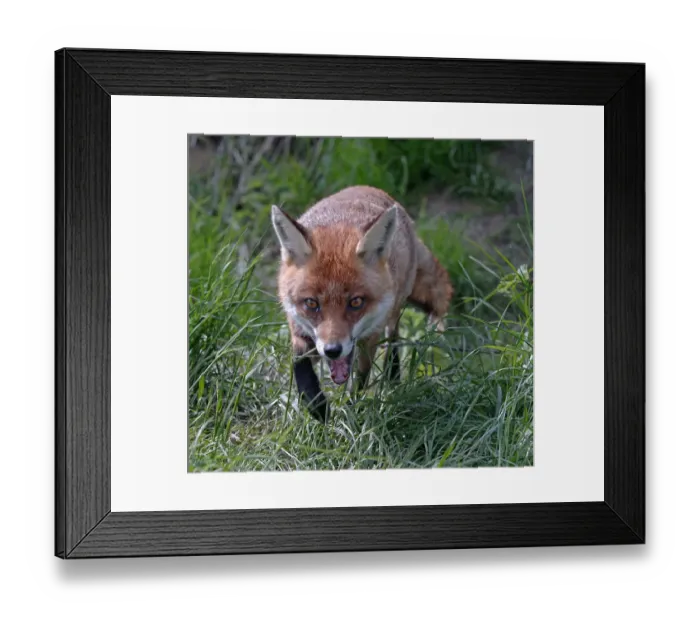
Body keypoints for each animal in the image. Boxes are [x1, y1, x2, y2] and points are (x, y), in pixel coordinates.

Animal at [270, 185, 453, 423]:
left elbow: (359, 381)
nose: (332, 350)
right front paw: (317, 407)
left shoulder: (370, 337)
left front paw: (350, 415)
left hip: (394, 308)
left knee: (393, 338)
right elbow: (299, 366)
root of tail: (369, 188)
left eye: (356, 302)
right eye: (311, 303)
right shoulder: (297, 327)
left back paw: (393, 377)